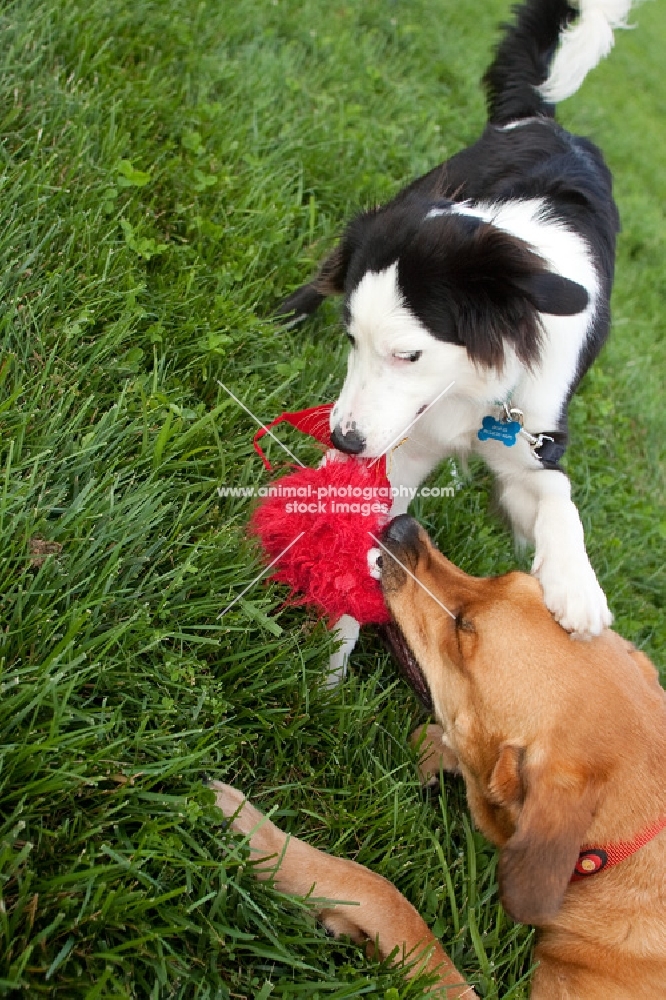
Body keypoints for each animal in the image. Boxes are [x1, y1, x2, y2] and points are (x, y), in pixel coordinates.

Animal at [215, 520, 664, 996]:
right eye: (508, 578)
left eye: (464, 627)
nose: (403, 526)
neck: (623, 848)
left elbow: (387, 895)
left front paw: (262, 838)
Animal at [278, 0, 632, 672]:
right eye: (351, 342)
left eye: (408, 354)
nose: (342, 440)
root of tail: (545, 121)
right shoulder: (403, 441)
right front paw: (330, 656)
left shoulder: (531, 431)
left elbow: (556, 492)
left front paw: (576, 585)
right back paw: (286, 313)